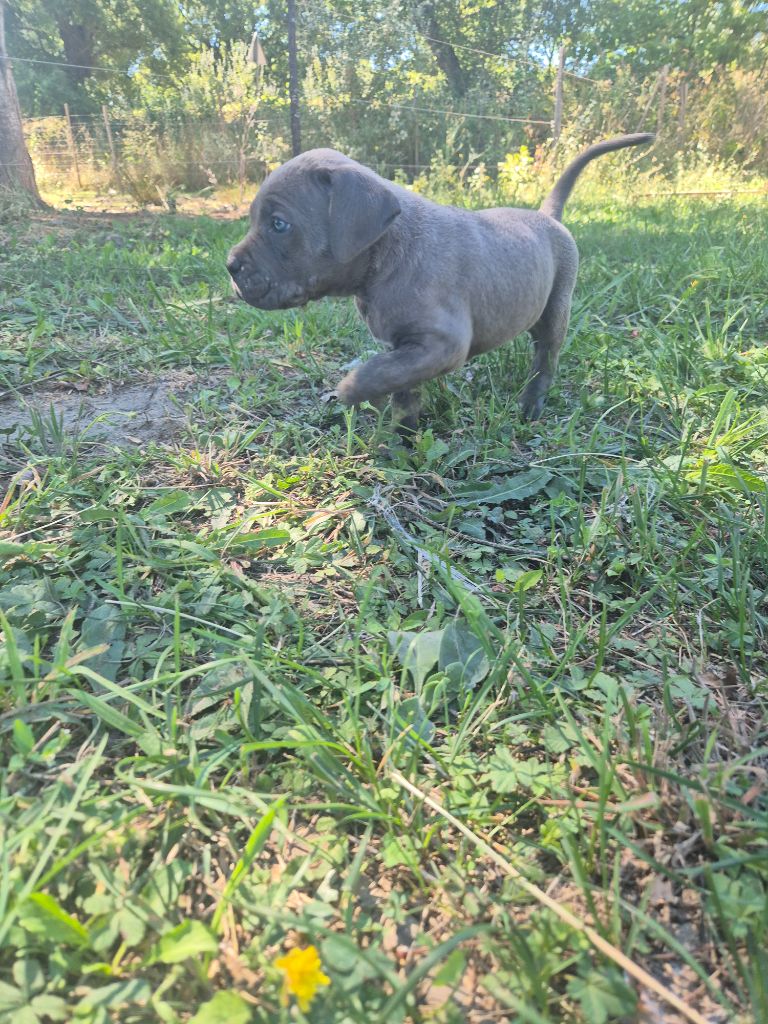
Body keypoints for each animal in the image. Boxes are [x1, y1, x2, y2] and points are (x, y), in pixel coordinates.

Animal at [227, 134, 653, 429]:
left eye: (278, 224)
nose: (230, 265)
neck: (386, 257)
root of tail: (547, 217)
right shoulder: (407, 349)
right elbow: (399, 384)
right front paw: (402, 440)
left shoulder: (443, 343)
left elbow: (376, 371)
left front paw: (349, 390)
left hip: (556, 310)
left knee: (545, 359)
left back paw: (531, 405)